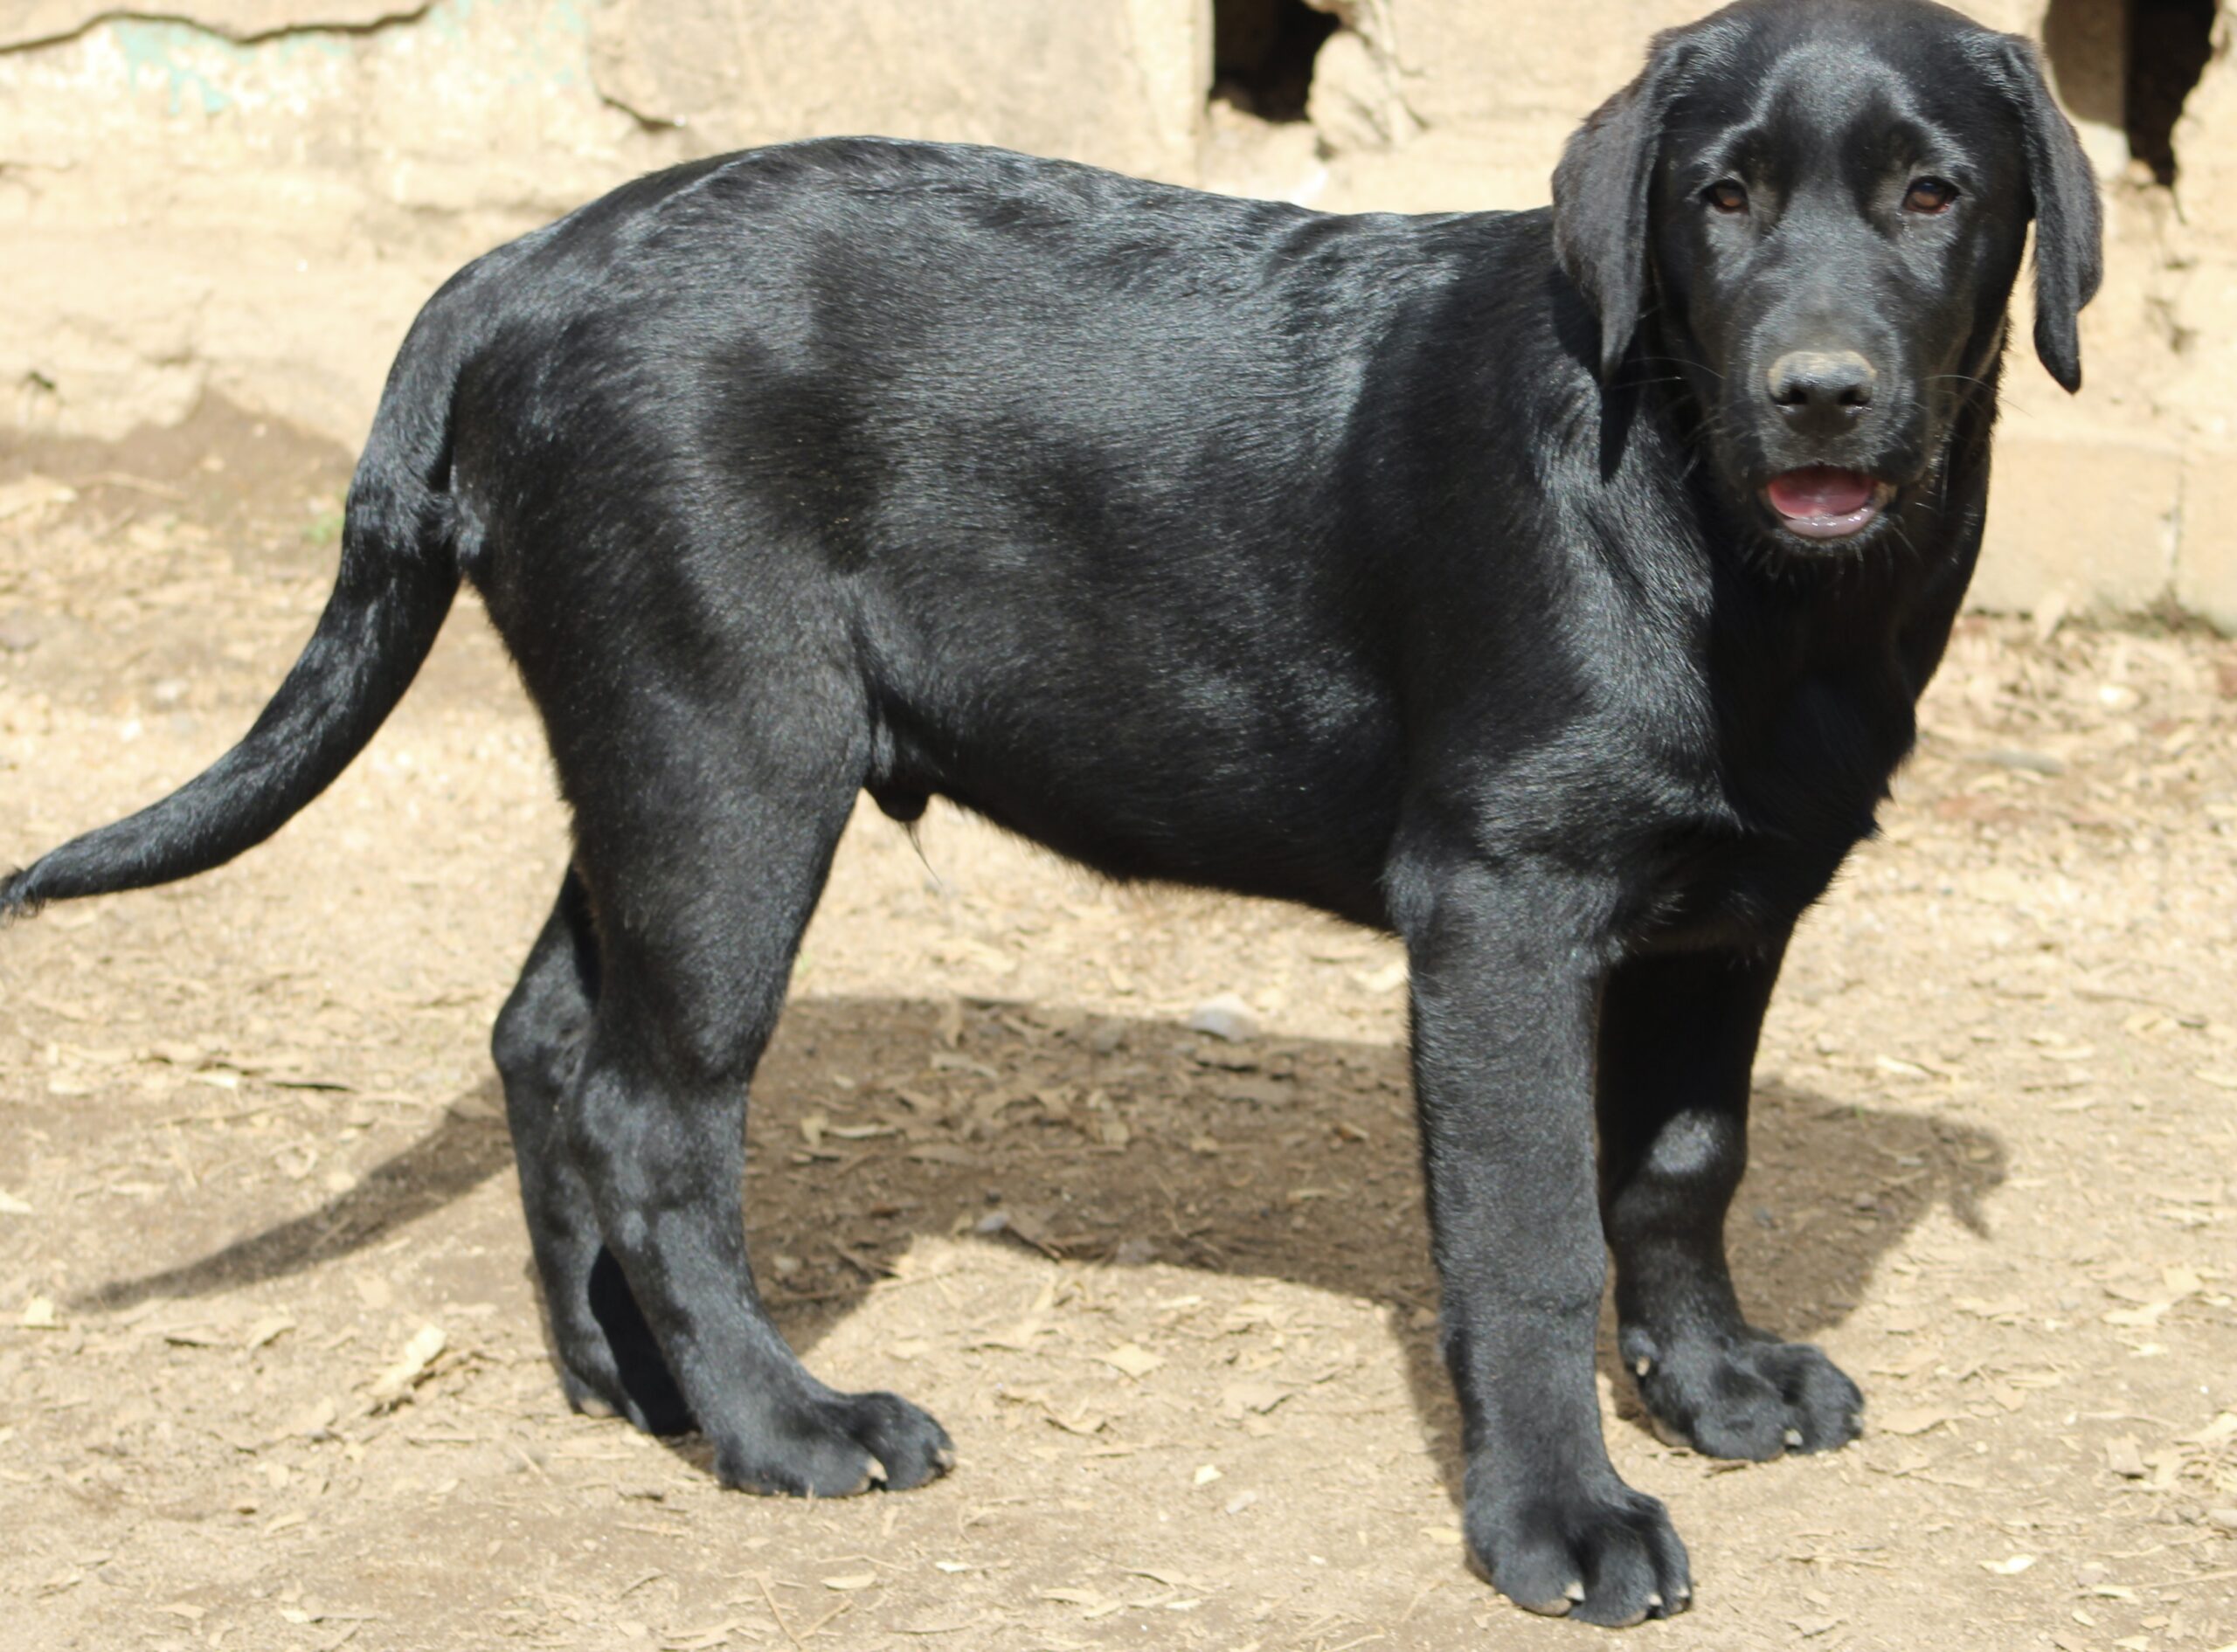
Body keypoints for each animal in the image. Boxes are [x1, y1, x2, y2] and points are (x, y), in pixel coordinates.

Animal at [4, 0, 2094, 1627]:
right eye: (1718, 198)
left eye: (1933, 195)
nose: (1815, 393)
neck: (1741, 567)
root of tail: (524, 259)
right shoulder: (1502, 903)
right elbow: (1524, 1237)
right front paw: (1558, 1525)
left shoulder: (1728, 911)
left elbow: (1677, 1168)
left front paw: (1716, 1391)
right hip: (731, 758)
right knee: (648, 1113)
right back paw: (789, 1429)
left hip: (651, 760)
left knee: (543, 1038)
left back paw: (632, 1385)